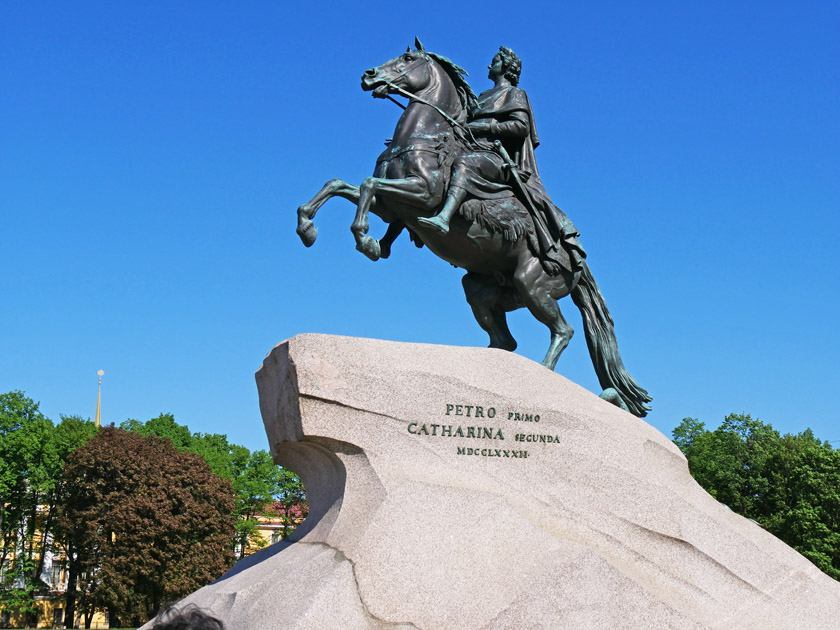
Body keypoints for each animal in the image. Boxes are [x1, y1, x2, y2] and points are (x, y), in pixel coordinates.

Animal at [294, 43, 648, 420]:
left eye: (407, 59)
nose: (368, 75)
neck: (424, 136)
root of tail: (576, 260)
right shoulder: (391, 205)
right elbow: (340, 185)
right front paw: (309, 228)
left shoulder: (423, 194)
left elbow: (366, 184)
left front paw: (364, 238)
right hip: (483, 290)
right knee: (505, 341)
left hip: (533, 283)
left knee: (562, 331)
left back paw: (544, 377)